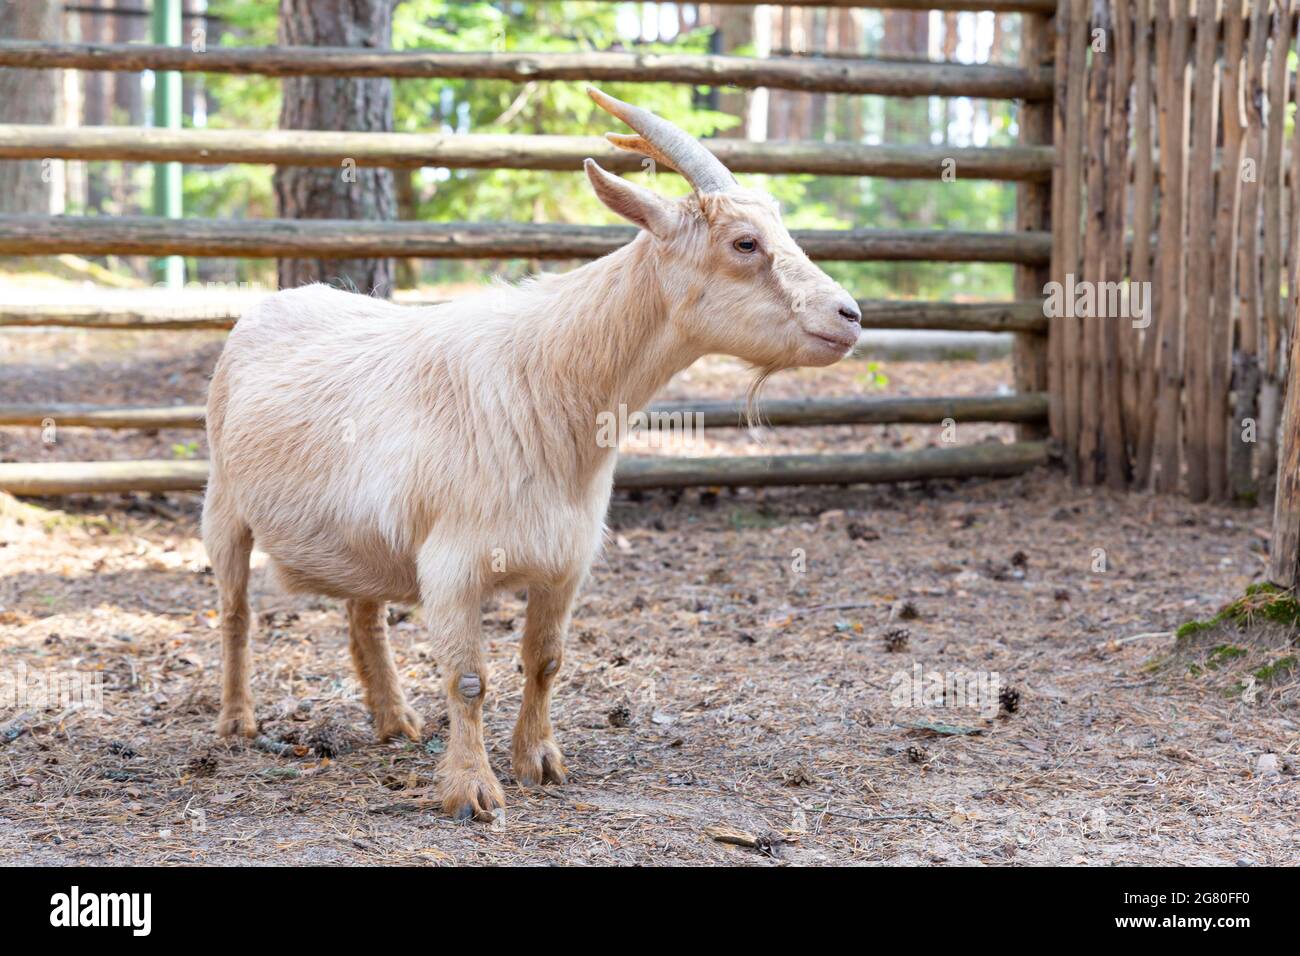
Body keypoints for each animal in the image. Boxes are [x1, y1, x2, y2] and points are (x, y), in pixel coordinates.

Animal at [202, 87, 863, 820]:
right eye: (745, 242)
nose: (850, 315)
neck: (546, 382)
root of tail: (271, 305)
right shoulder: (452, 565)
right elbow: (468, 678)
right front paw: (471, 790)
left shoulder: (565, 562)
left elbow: (545, 660)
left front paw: (540, 763)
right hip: (223, 504)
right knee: (235, 611)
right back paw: (237, 721)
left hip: (362, 536)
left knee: (362, 613)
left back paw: (394, 719)